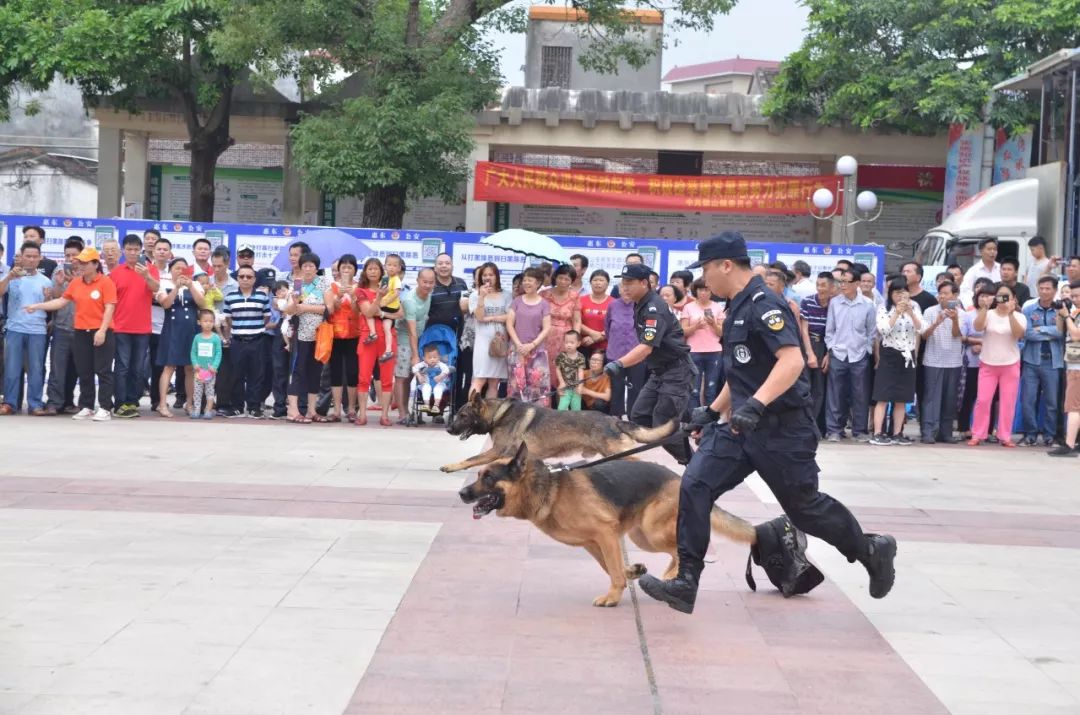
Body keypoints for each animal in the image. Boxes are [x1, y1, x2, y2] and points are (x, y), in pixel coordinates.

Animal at [440, 395, 673, 473]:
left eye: (462, 415)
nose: (449, 429)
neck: (498, 413)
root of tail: (614, 420)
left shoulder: (497, 451)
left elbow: (471, 459)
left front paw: (451, 466)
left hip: (615, 452)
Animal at [455, 444, 751, 609]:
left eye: (489, 477)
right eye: (479, 474)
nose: (462, 493)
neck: (550, 489)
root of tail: (679, 478)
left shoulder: (606, 533)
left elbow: (614, 571)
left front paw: (613, 597)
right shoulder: (592, 542)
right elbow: (610, 566)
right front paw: (631, 572)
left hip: (651, 531)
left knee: (683, 548)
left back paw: (671, 578)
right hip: (641, 535)